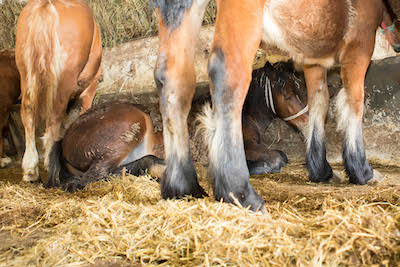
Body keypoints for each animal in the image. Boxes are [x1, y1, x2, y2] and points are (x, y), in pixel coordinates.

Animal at [15, 0, 103, 182]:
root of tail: (46, 5)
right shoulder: (89, 90)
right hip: (63, 81)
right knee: (54, 115)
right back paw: (51, 165)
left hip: (26, 76)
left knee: (28, 113)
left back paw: (30, 170)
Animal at [152, 0, 400, 211]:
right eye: (287, 94)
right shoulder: (359, 48)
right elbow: (354, 103)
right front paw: (362, 171)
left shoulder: (313, 60)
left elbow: (319, 104)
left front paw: (321, 170)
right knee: (227, 73)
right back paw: (240, 193)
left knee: (173, 79)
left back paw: (182, 187)